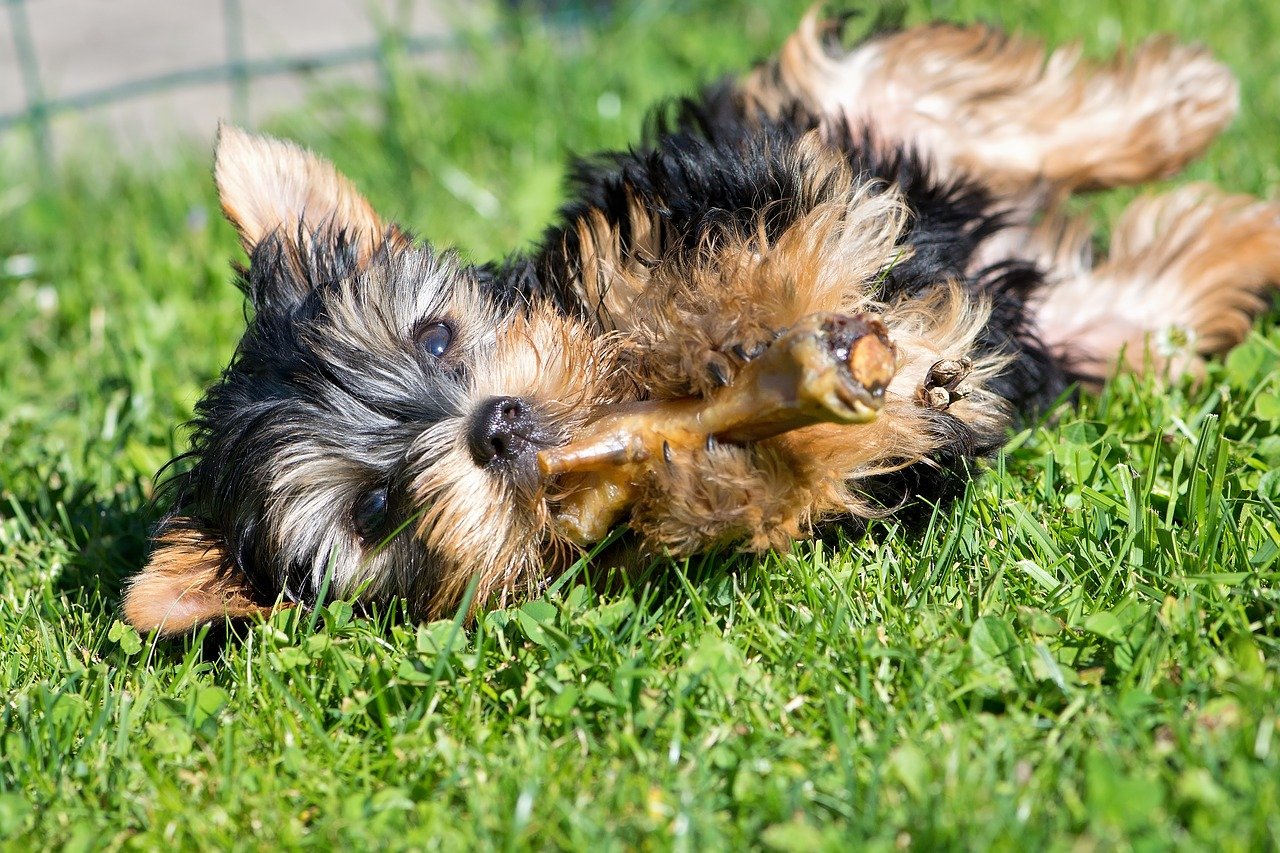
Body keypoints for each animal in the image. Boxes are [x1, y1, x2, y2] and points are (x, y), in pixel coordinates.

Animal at [122, 8, 1280, 630]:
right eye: (374, 510)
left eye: (435, 337)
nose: (494, 425)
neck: (615, 397)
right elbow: (790, 485)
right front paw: (714, 467)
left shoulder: (679, 196)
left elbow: (692, 266)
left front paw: (718, 327)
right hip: (1081, 326)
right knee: (1146, 295)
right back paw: (1243, 230)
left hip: (823, 117)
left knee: (945, 98)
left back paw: (1182, 100)